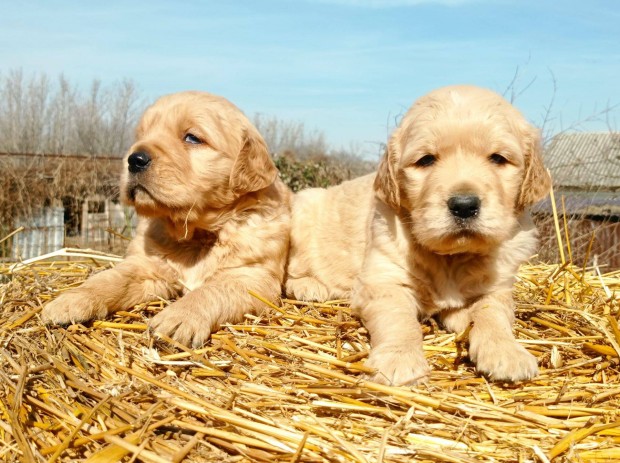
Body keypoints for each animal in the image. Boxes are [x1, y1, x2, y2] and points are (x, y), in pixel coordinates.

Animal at [43, 90, 290, 346]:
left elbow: (211, 290)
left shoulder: (251, 277)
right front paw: (71, 299)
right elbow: (110, 278)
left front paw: (180, 316)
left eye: (192, 138)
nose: (134, 159)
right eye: (141, 135)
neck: (197, 235)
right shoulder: (146, 266)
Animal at [286, 85, 552, 386]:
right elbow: (400, 320)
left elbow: (493, 313)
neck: (452, 258)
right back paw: (308, 286)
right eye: (426, 160)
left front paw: (506, 352)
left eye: (498, 158)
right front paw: (399, 359)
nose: (464, 205)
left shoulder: (497, 287)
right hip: (302, 210)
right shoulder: (383, 280)